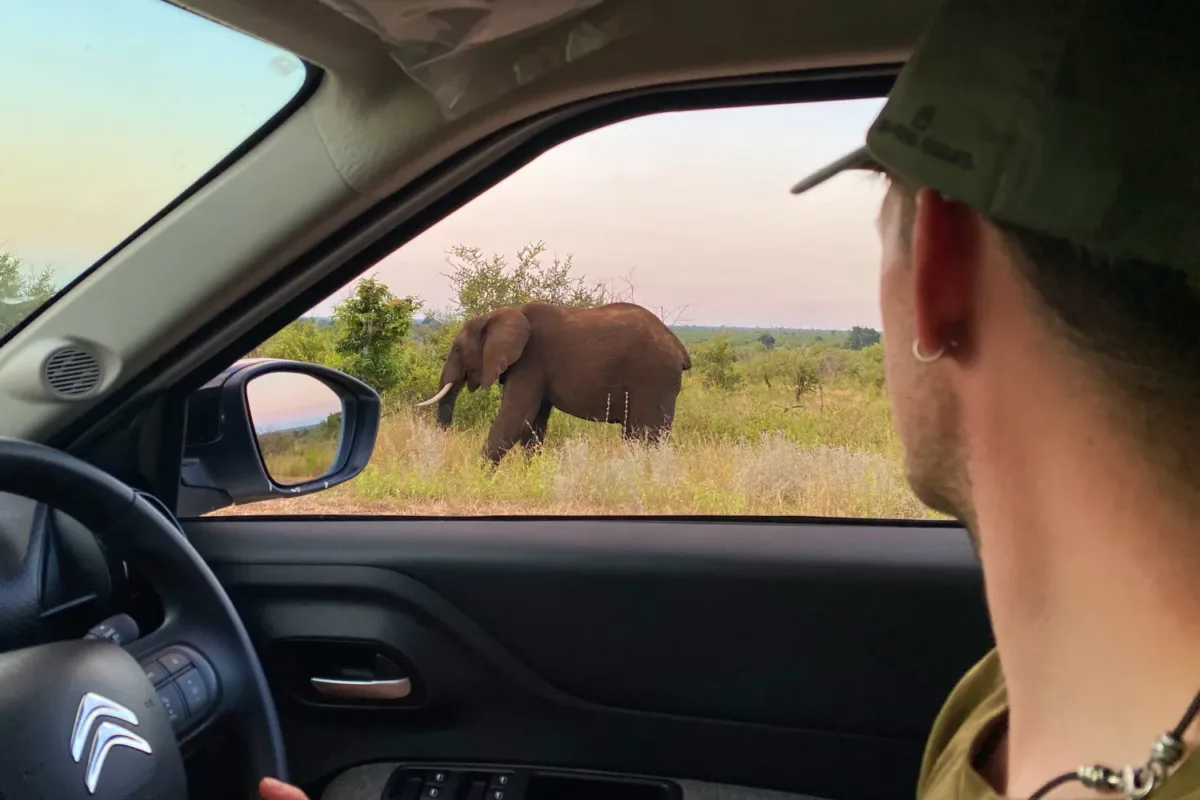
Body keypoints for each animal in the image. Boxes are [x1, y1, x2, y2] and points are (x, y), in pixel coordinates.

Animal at [416, 302, 692, 463]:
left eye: (458, 348)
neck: (499, 315)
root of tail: (679, 347)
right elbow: (532, 424)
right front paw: (530, 476)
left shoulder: (531, 362)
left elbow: (515, 418)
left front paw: (480, 478)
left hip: (652, 378)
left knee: (645, 435)